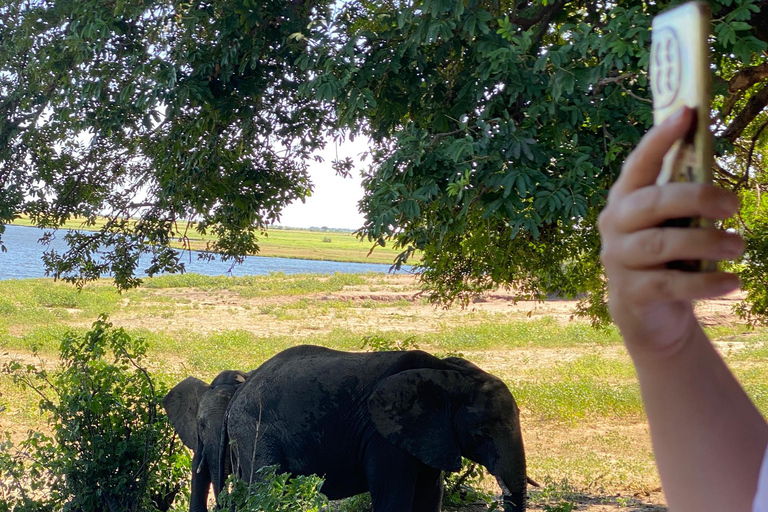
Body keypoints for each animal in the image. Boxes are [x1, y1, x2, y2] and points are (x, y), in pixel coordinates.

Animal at [219, 344, 536, 512]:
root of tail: (244, 384)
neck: (451, 374)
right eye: (481, 433)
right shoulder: (383, 437)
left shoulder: (430, 436)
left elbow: (430, 495)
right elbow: (393, 497)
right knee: (262, 487)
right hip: (254, 429)